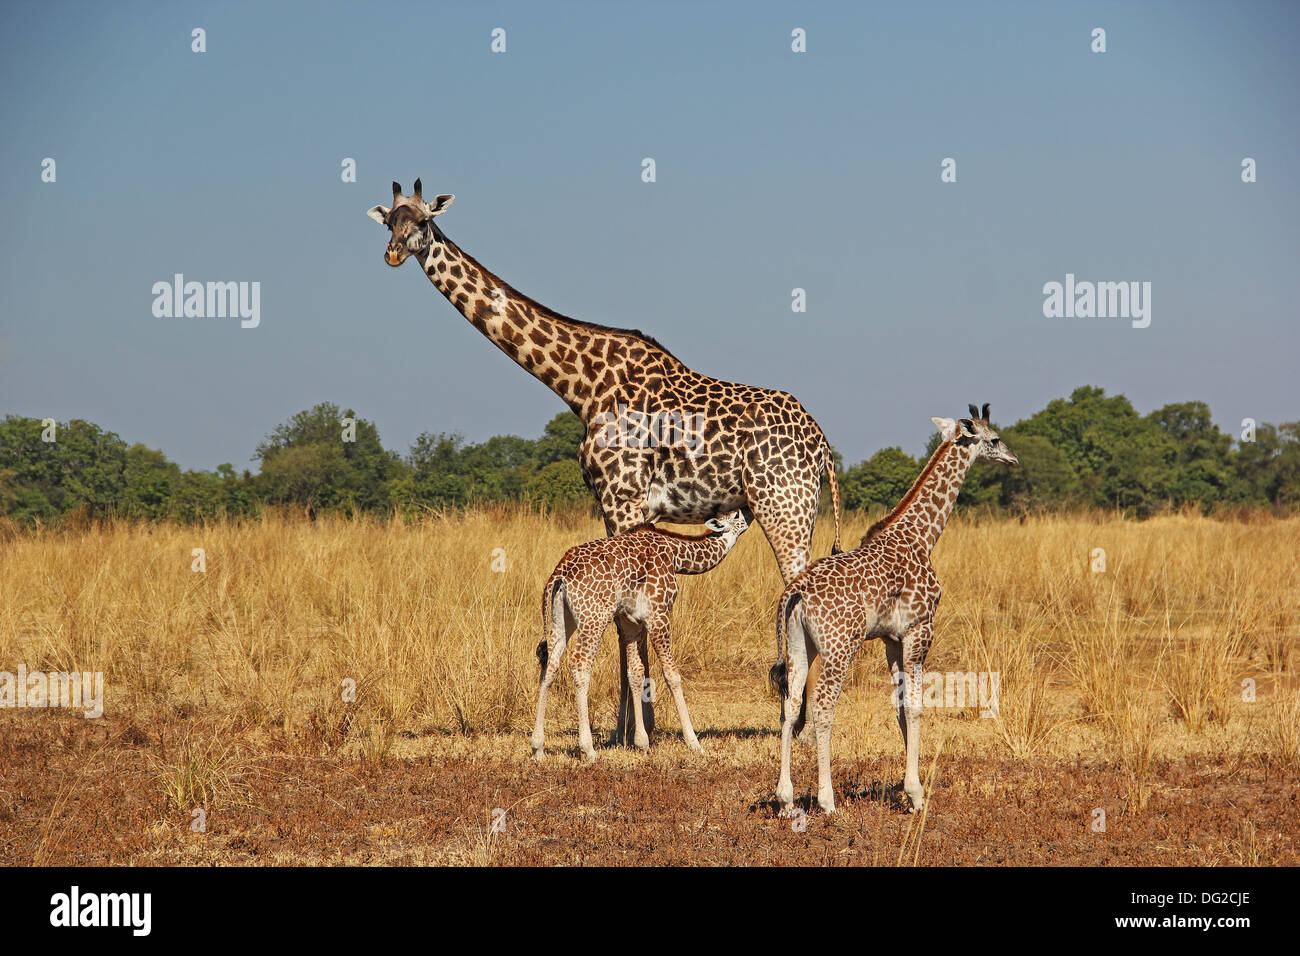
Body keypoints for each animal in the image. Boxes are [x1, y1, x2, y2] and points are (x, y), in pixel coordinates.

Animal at [530, 509, 749, 760]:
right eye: (737, 515)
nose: (750, 515)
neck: (676, 555)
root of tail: (560, 575)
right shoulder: (659, 614)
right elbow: (671, 675)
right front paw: (694, 743)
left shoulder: (630, 622)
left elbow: (635, 673)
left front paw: (641, 742)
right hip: (593, 617)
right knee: (580, 664)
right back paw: (588, 749)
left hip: (561, 618)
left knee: (550, 663)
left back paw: (537, 747)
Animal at [770, 404, 1018, 816]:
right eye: (994, 439)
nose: (1013, 458)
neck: (922, 537)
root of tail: (796, 590)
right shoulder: (920, 629)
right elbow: (917, 707)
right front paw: (917, 794)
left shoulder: (890, 639)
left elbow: (900, 707)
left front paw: (909, 789)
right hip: (839, 648)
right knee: (822, 708)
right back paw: (827, 800)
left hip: (799, 645)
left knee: (790, 706)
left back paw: (786, 798)